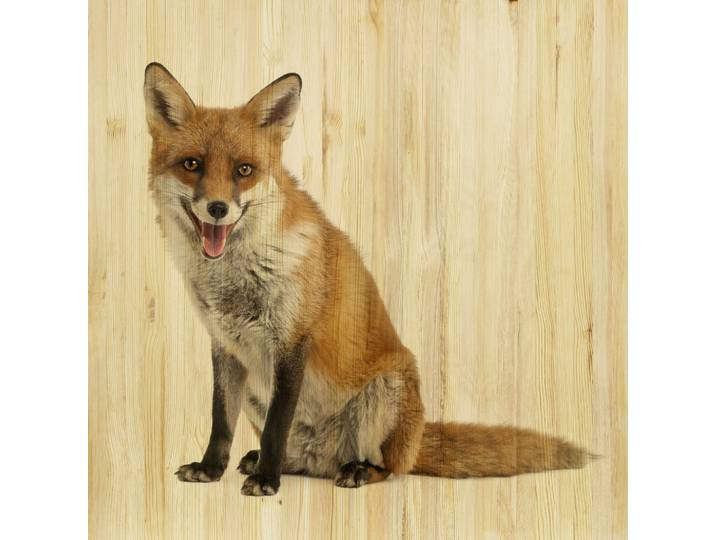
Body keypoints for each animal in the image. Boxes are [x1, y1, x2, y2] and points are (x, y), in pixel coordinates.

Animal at [143, 62, 590, 496]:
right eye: (192, 165)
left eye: (244, 170)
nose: (218, 208)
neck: (236, 276)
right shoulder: (226, 345)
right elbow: (222, 422)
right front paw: (210, 469)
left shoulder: (292, 341)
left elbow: (275, 428)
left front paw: (267, 482)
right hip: (261, 392)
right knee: (297, 456)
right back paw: (272, 464)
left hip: (384, 392)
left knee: (388, 468)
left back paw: (350, 470)